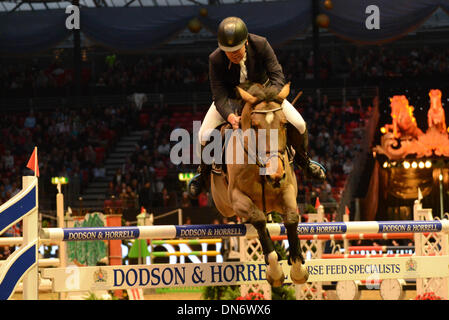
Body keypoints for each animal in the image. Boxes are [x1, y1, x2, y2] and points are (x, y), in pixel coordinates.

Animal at [210, 81, 308, 286]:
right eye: (255, 126)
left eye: (284, 124)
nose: (275, 174)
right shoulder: (237, 198)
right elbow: (258, 220)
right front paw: (275, 271)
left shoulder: (288, 190)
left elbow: (291, 218)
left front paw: (298, 269)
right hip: (225, 206)